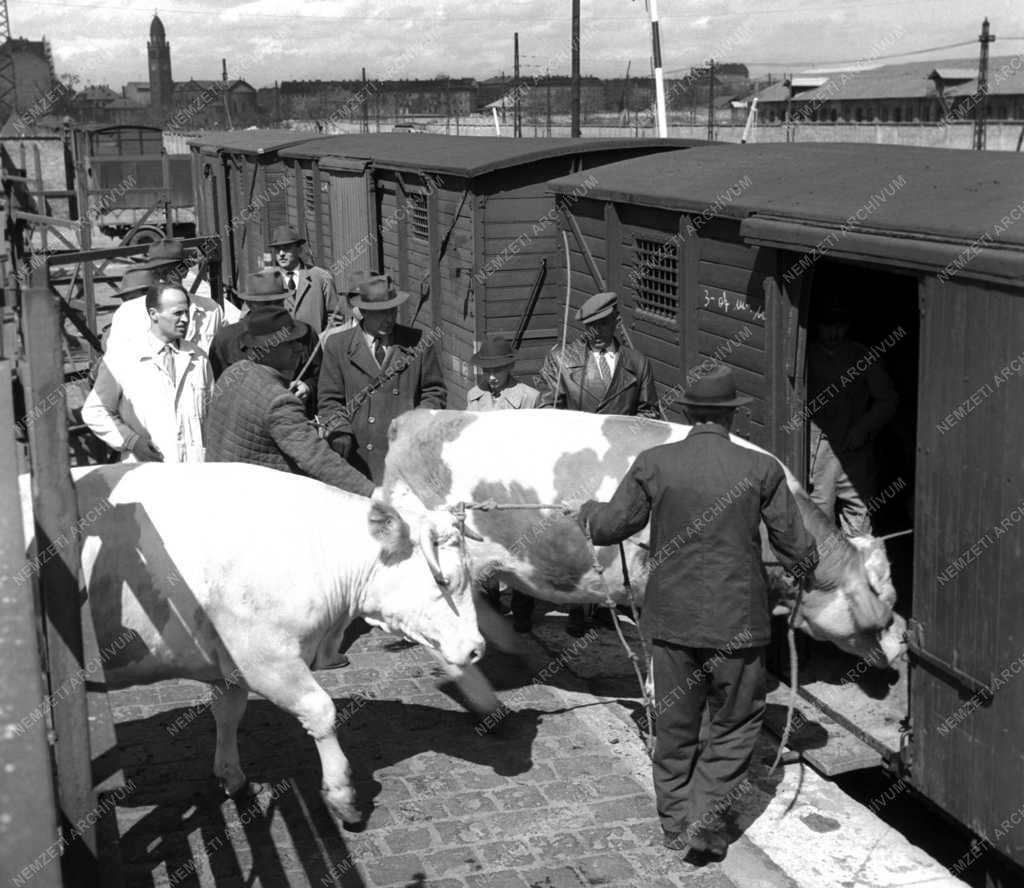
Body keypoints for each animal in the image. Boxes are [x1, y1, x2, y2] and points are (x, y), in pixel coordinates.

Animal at [18, 460, 483, 823]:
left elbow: (228, 712)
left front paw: (233, 777)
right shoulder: (267, 658)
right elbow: (322, 711)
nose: (477, 648)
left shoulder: (230, 664)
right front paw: (342, 795)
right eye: (444, 580)